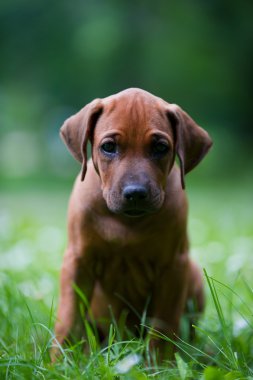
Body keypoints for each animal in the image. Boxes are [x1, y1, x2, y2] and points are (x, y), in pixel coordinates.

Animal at [52, 87, 212, 360]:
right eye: (108, 147)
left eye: (160, 147)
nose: (135, 193)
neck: (126, 222)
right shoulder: (77, 260)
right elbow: (69, 316)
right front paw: (60, 360)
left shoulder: (173, 266)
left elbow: (163, 325)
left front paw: (160, 364)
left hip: (192, 274)